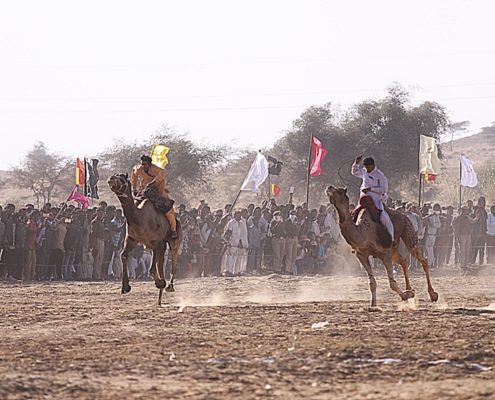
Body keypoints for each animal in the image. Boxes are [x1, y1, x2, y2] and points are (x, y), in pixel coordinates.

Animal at [107, 173, 182, 306]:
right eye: (115, 175)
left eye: (121, 177)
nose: (110, 179)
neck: (140, 218)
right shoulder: (131, 239)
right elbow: (123, 255)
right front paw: (125, 287)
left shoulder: (156, 243)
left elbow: (151, 269)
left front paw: (159, 283)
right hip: (160, 246)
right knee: (161, 262)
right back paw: (159, 299)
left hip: (174, 240)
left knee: (173, 260)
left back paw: (169, 286)